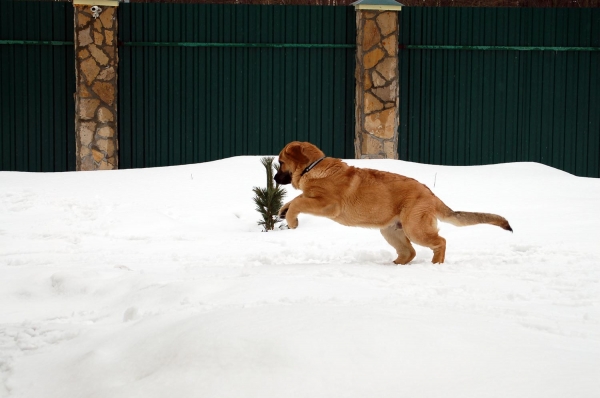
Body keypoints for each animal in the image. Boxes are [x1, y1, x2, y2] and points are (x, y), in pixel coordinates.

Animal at [274, 141, 512, 264]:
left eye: (281, 163)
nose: (275, 179)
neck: (312, 167)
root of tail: (431, 195)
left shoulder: (327, 204)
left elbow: (299, 202)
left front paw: (292, 221)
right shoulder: (315, 198)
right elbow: (296, 199)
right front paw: (282, 210)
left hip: (415, 229)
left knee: (440, 241)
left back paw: (436, 264)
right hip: (391, 231)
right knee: (410, 252)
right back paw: (395, 265)